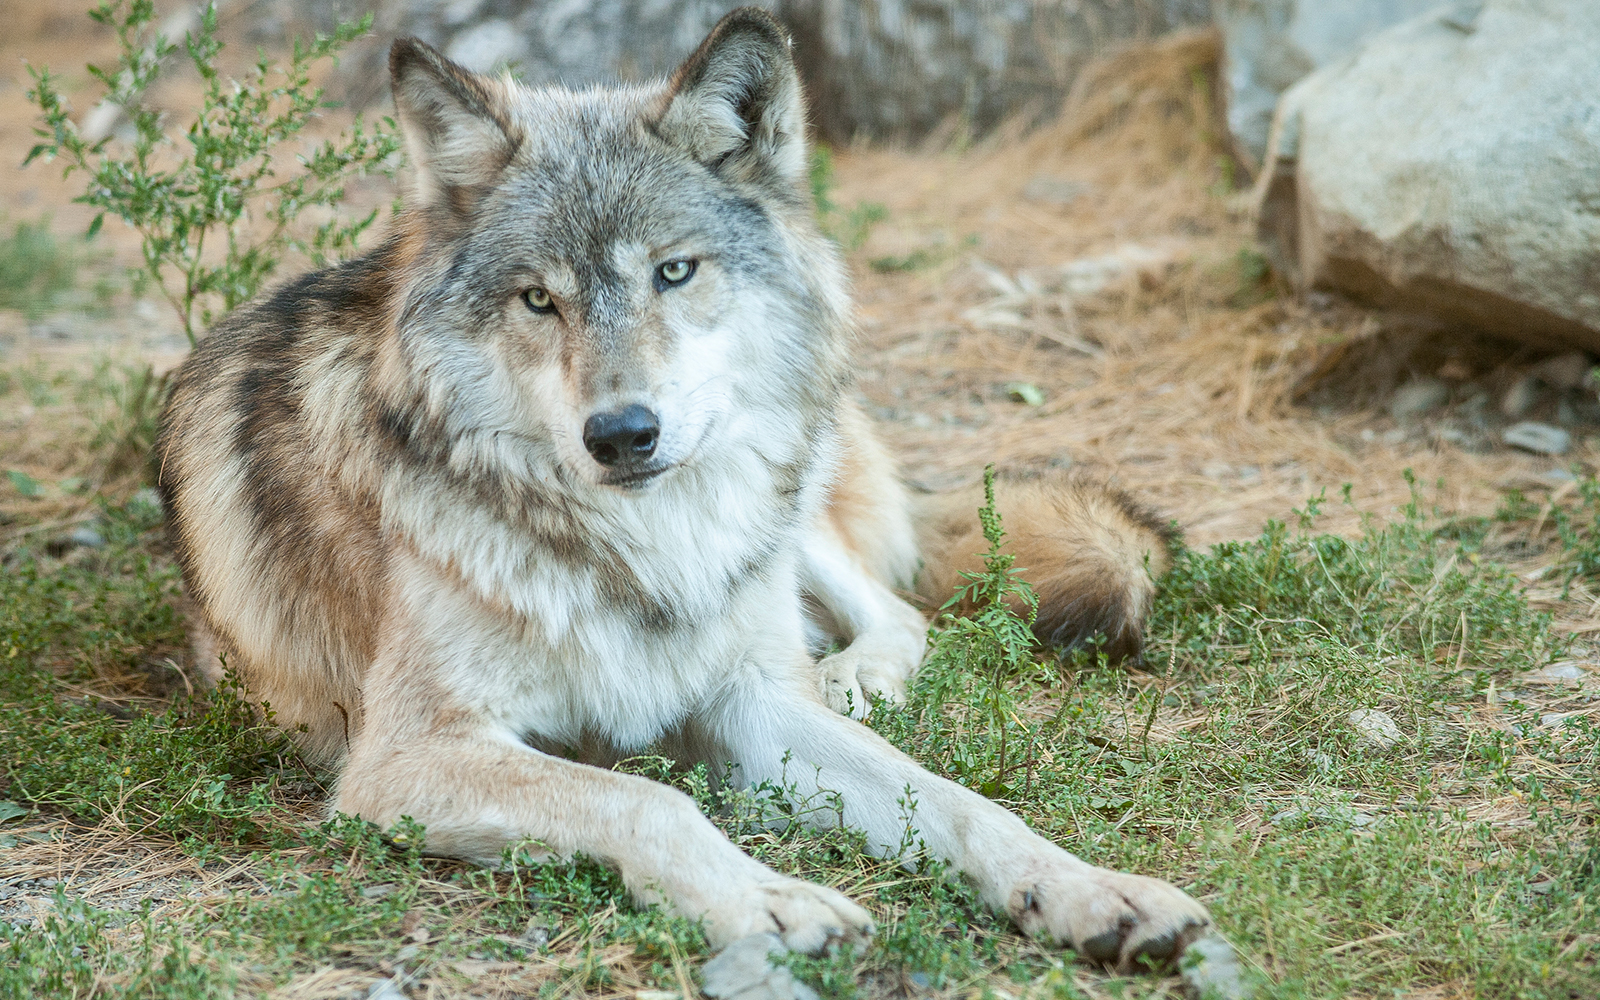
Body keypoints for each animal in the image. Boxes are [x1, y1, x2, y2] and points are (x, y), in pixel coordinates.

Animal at [156, 7, 1209, 971]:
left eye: (673, 272)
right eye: (539, 299)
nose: (622, 434)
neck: (637, 553)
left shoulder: (751, 707)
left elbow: (962, 803)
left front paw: (1091, 889)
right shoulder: (409, 754)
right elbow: (645, 797)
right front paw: (772, 901)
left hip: (788, 505)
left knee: (894, 610)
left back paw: (853, 676)